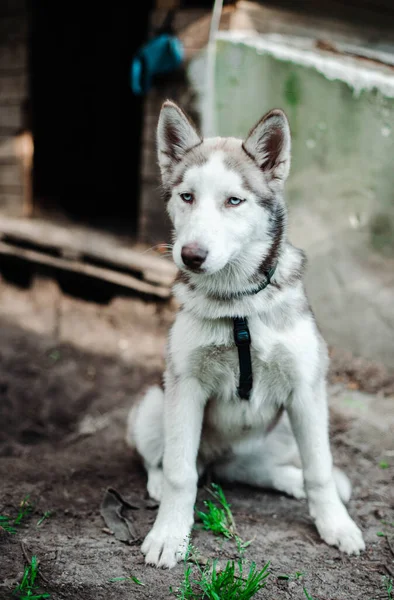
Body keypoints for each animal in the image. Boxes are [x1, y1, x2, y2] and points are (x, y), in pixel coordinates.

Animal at [127, 99, 366, 568]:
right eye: (187, 196)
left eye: (234, 201)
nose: (191, 255)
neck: (238, 307)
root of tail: (218, 459)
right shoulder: (185, 385)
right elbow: (181, 473)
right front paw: (169, 535)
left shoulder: (307, 389)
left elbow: (320, 470)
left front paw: (336, 524)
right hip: (152, 404)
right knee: (170, 463)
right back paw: (160, 483)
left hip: (283, 427)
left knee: (255, 470)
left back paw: (290, 481)